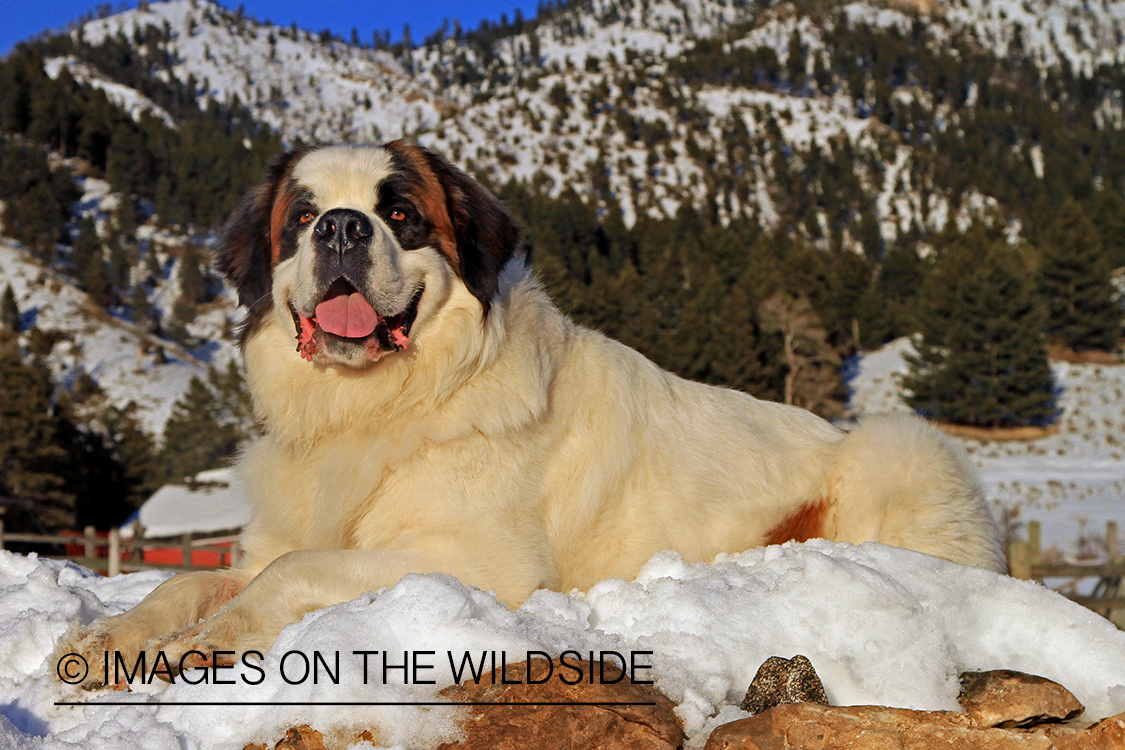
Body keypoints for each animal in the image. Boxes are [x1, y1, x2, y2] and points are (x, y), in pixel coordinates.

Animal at [59, 140, 1003, 688]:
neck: (382, 403)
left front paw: (212, 640)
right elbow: (191, 578)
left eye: (399, 213)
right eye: (300, 218)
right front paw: (114, 638)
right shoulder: (272, 536)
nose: (341, 227)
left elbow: (291, 573)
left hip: (899, 445)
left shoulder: (476, 562)